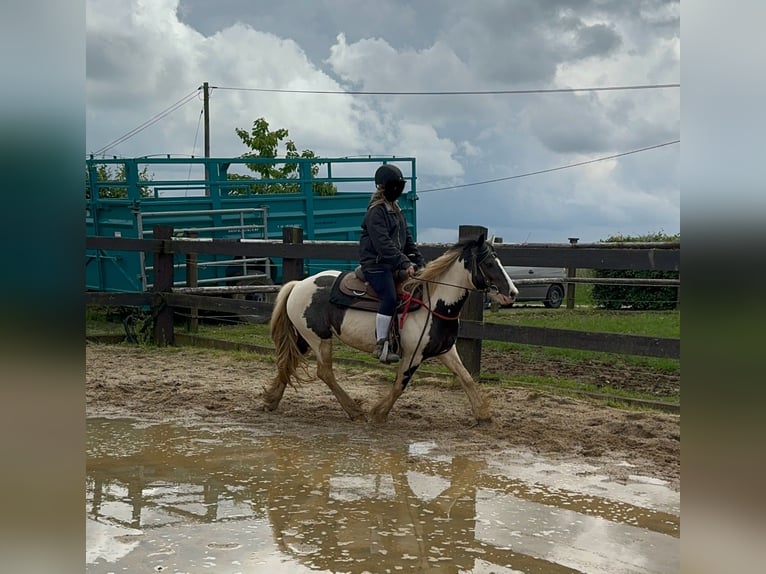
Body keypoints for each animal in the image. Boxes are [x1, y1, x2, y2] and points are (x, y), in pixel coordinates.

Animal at [266, 235, 520, 428]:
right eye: (489, 264)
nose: (513, 293)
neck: (433, 303)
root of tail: (298, 285)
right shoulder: (412, 355)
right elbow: (400, 385)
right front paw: (378, 413)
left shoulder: (446, 351)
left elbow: (466, 378)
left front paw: (483, 416)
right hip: (319, 339)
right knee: (325, 372)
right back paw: (354, 411)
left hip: (306, 337)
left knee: (288, 362)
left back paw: (271, 400)